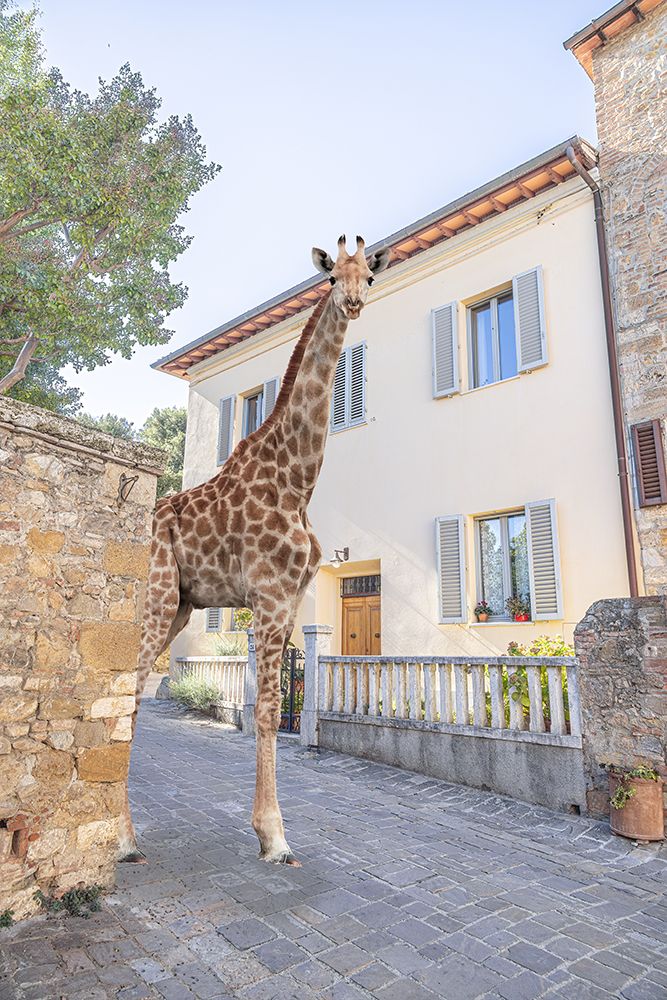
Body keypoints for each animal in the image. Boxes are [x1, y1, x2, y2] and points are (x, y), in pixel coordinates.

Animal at [118, 235, 391, 865]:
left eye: (367, 272)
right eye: (331, 275)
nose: (353, 300)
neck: (297, 480)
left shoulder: (290, 600)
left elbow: (276, 703)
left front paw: (271, 832)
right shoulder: (267, 595)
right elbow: (266, 710)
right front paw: (274, 836)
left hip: (180, 606)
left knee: (133, 690)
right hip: (157, 598)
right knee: (125, 690)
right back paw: (121, 838)